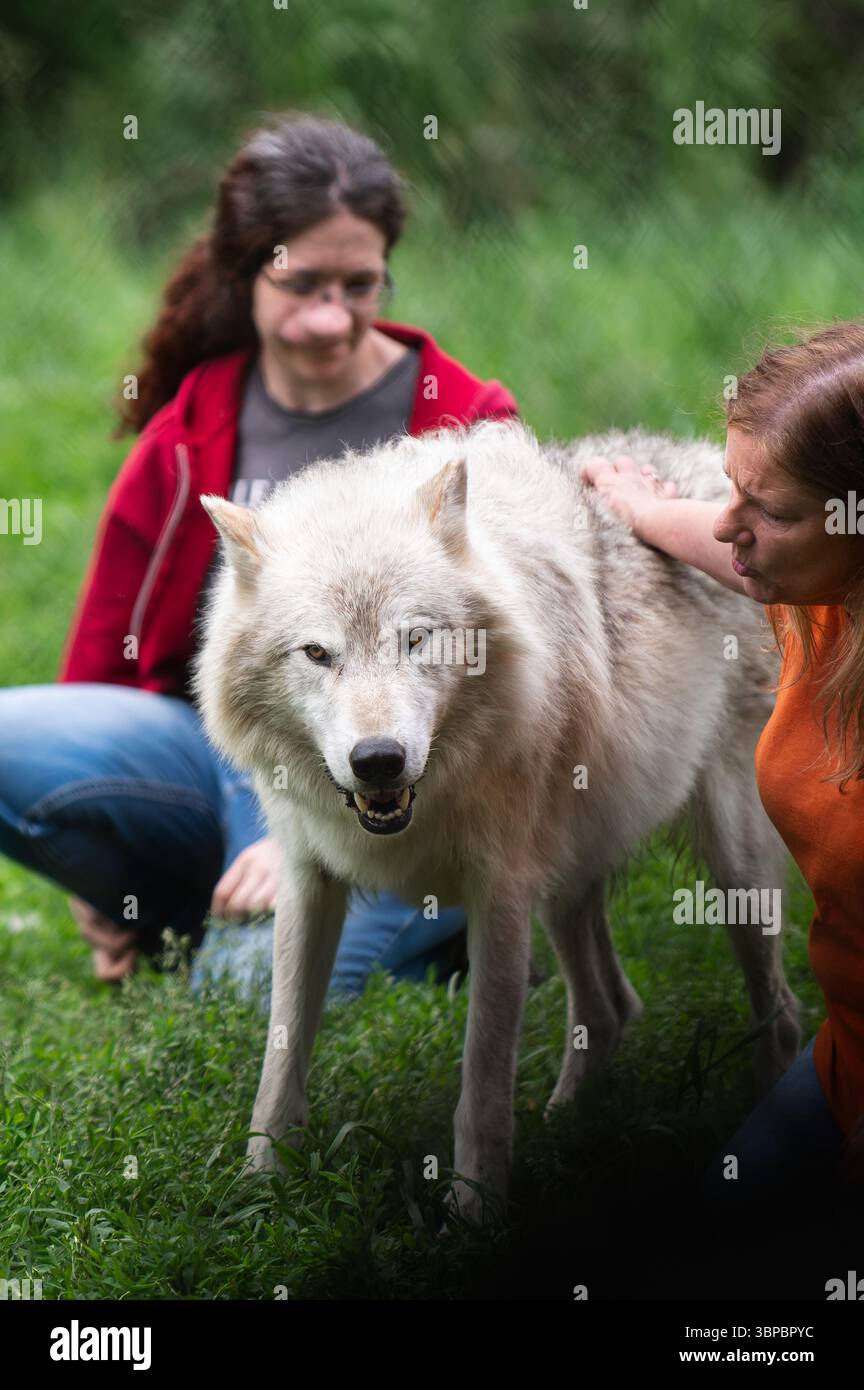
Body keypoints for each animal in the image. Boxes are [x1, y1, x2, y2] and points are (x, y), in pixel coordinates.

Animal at [194, 419, 800, 1224]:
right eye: (317, 653)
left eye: (414, 639)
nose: (378, 760)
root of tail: (712, 472)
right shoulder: (306, 880)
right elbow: (281, 1053)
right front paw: (262, 1185)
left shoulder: (501, 894)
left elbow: (481, 1079)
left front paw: (474, 1213)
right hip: (570, 878)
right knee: (612, 1007)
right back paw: (567, 1126)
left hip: (732, 878)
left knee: (780, 1015)